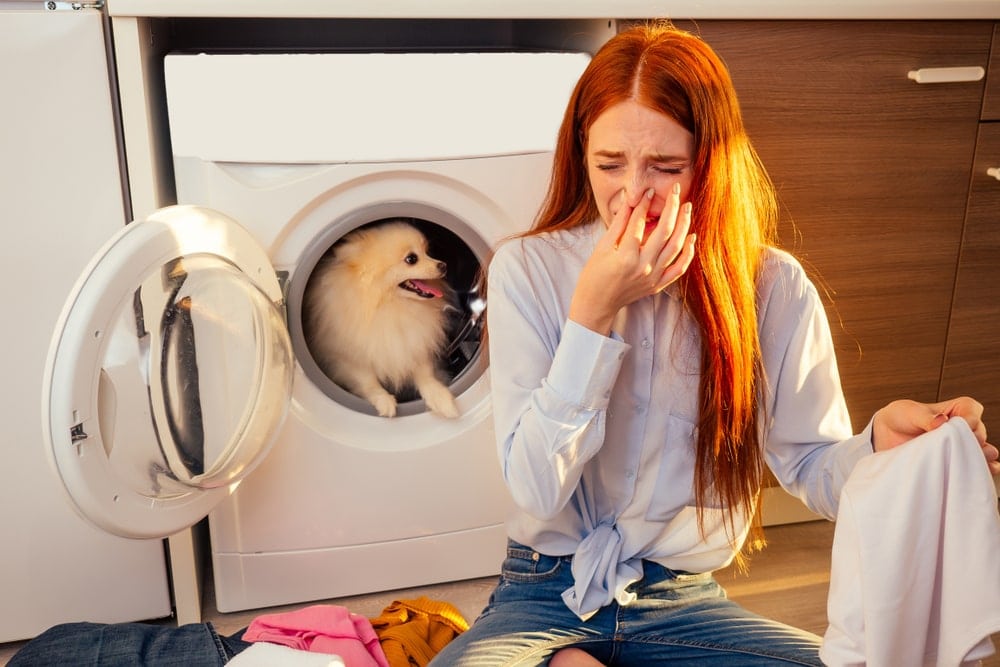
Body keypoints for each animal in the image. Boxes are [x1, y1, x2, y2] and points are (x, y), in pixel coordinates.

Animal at [304, 222, 460, 420]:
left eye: (427, 251)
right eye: (411, 259)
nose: (443, 265)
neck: (390, 305)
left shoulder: (414, 342)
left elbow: (425, 375)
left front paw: (440, 398)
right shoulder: (346, 356)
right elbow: (367, 380)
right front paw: (384, 400)